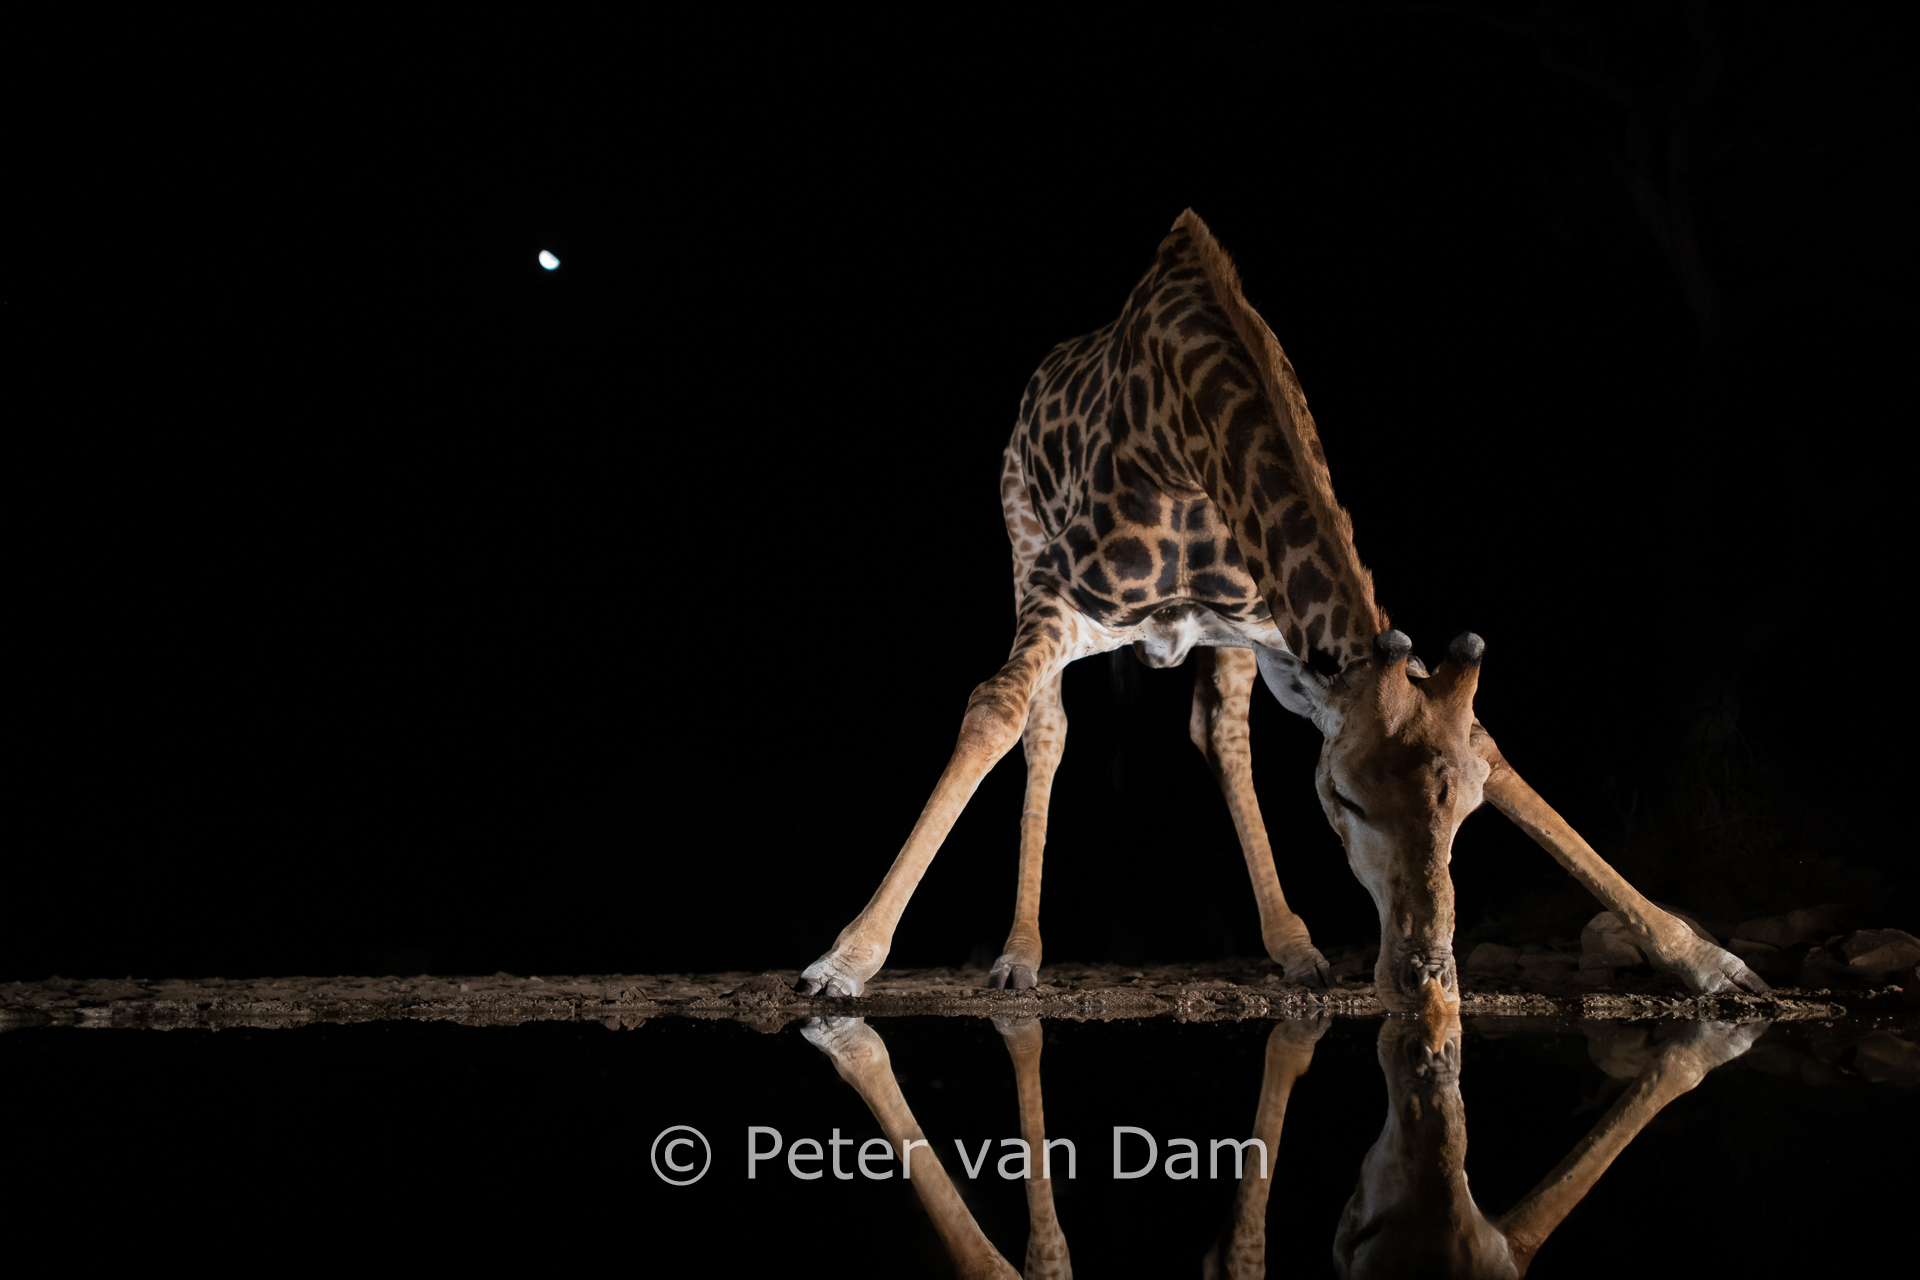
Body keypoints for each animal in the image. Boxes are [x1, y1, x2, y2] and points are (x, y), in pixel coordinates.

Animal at [796, 209, 1768, 1012]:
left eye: (1466, 811)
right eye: (1344, 799)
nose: (1425, 977)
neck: (1189, 437)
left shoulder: (1287, 636)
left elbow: (1485, 745)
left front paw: (1708, 962)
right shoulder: (1064, 598)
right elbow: (996, 710)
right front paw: (846, 960)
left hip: (1220, 639)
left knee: (1219, 731)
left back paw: (1295, 949)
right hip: (1022, 548)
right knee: (1046, 725)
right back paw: (1020, 955)